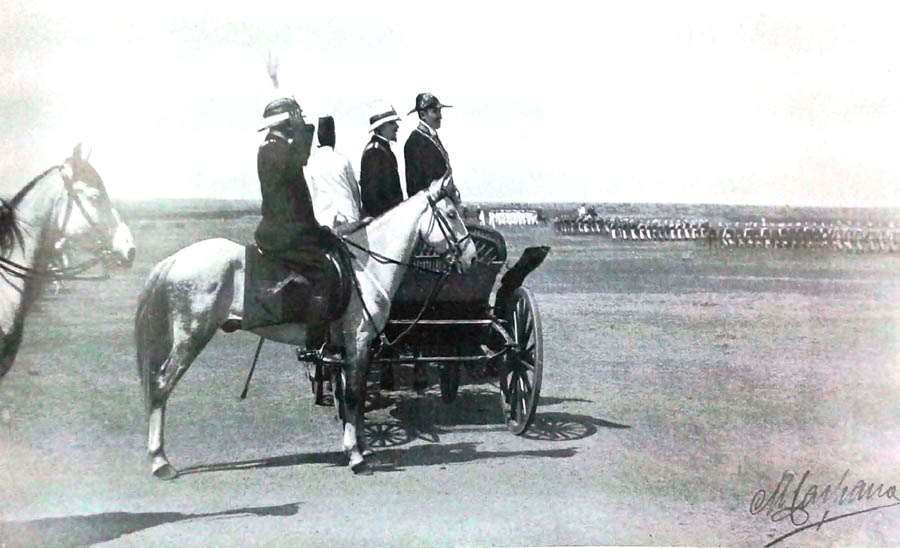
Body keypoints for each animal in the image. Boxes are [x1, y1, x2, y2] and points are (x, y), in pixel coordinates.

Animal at [135, 178, 478, 478]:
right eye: (451, 214)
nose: (472, 257)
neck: (364, 267)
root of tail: (176, 259)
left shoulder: (354, 348)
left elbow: (356, 398)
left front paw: (362, 447)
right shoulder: (358, 341)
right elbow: (353, 395)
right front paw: (356, 456)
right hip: (191, 336)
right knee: (162, 384)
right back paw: (160, 462)